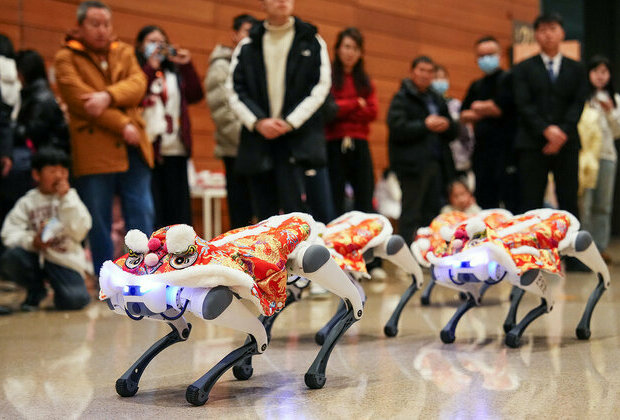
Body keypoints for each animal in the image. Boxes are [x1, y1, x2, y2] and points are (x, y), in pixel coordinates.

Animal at [98, 215, 364, 406]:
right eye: (134, 258)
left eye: (180, 260)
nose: (138, 280)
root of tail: (298, 218)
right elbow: (182, 330)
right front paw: (130, 380)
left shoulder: (214, 296)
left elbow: (219, 307)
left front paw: (199, 390)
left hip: (299, 258)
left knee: (315, 262)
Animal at [424, 208, 608, 346]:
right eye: (449, 245)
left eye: (473, 242)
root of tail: (559, 213)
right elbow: (473, 299)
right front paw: (449, 330)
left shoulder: (525, 269)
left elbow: (545, 302)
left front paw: (515, 334)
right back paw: (509, 322)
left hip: (572, 243)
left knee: (586, 248)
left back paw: (585, 323)